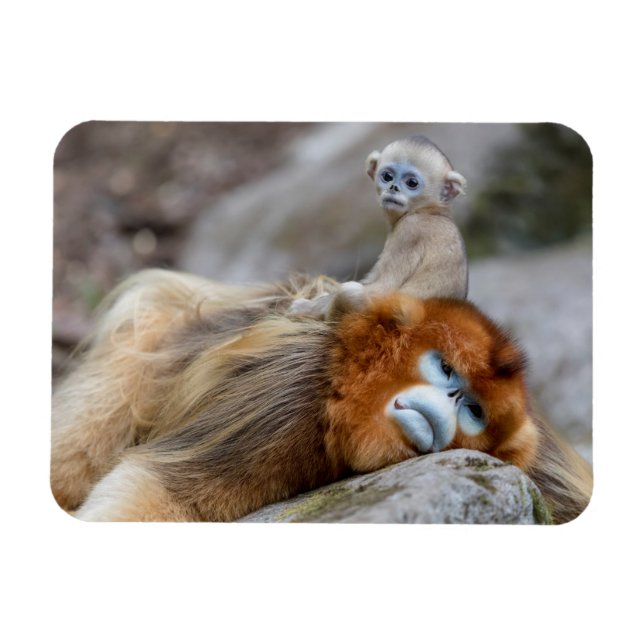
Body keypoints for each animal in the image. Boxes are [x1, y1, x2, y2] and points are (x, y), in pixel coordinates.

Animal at [51, 269, 591, 523]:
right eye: (444, 369)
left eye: (475, 410)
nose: (446, 407)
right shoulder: (291, 395)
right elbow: (160, 489)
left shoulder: (537, 467)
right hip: (151, 338)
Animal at [288, 135, 468, 319]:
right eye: (387, 176)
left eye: (412, 182)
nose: (393, 188)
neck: (430, 211)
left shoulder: (409, 231)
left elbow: (382, 290)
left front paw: (307, 308)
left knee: (350, 292)